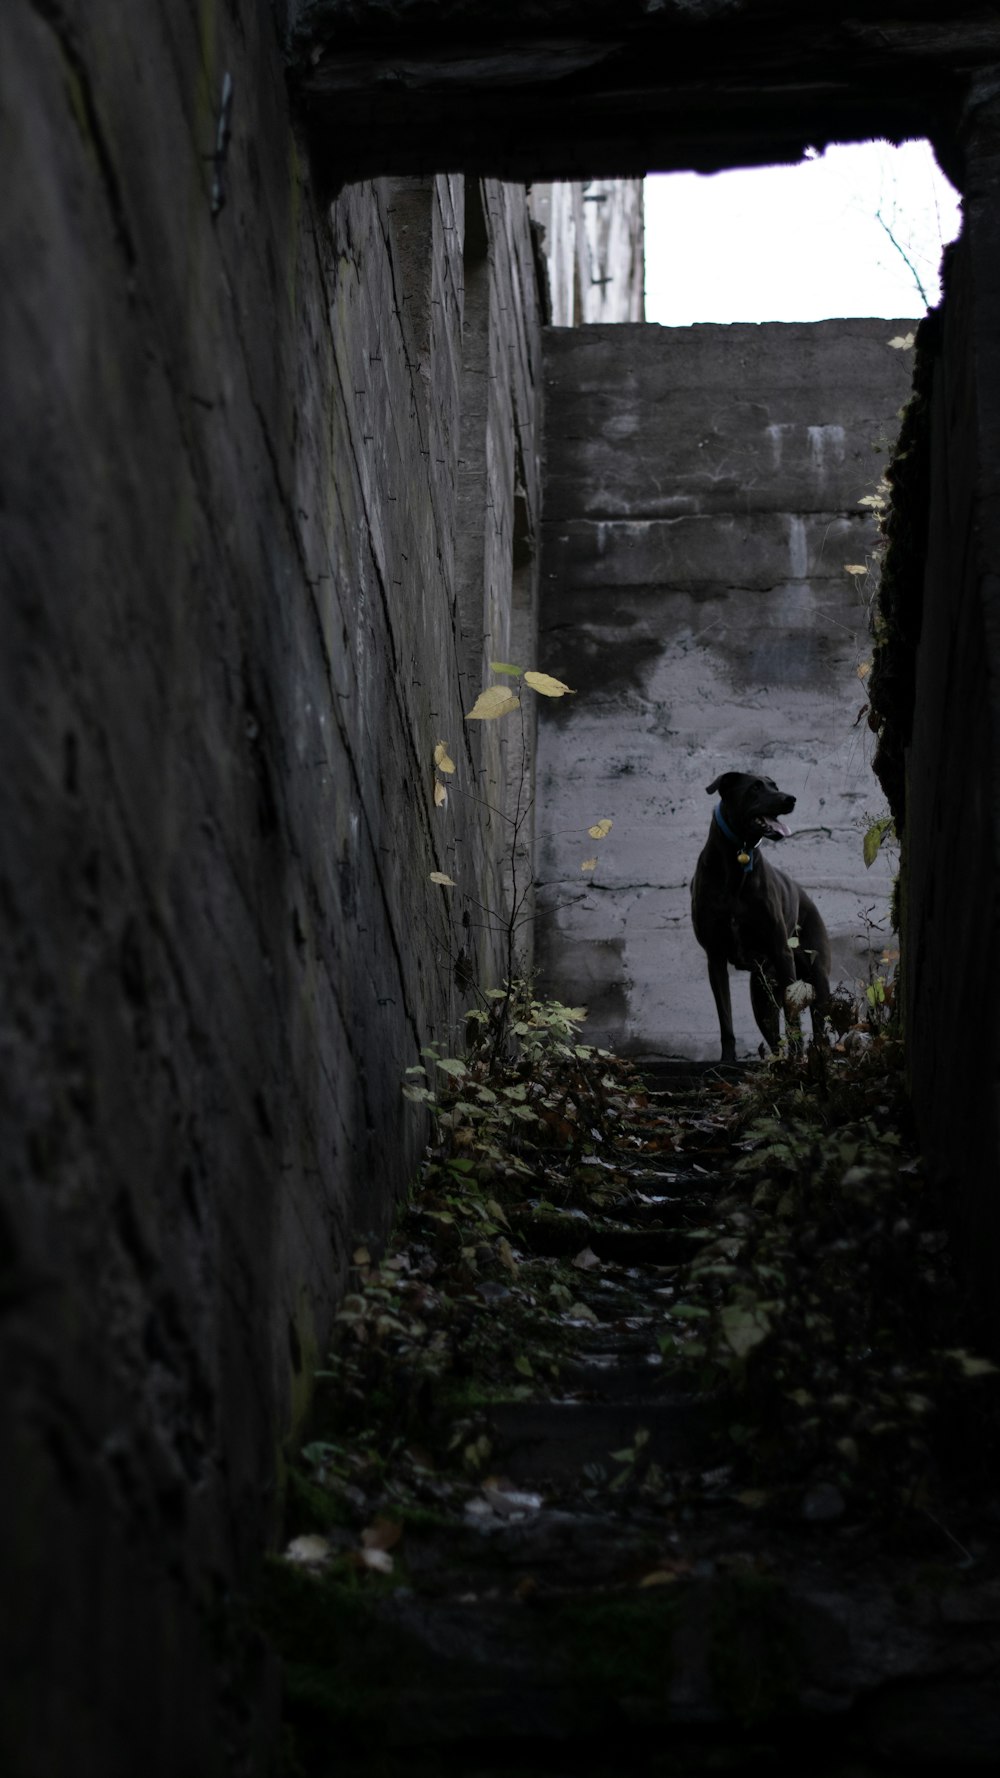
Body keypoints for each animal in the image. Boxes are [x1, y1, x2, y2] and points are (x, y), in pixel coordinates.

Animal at [690, 771, 829, 1059]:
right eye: (755, 788)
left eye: (774, 785)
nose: (791, 799)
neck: (737, 859)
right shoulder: (715, 957)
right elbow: (725, 1019)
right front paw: (727, 1062)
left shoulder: (781, 951)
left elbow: (793, 1017)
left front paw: (796, 1060)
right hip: (761, 995)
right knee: (773, 1034)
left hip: (817, 974)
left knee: (820, 1027)